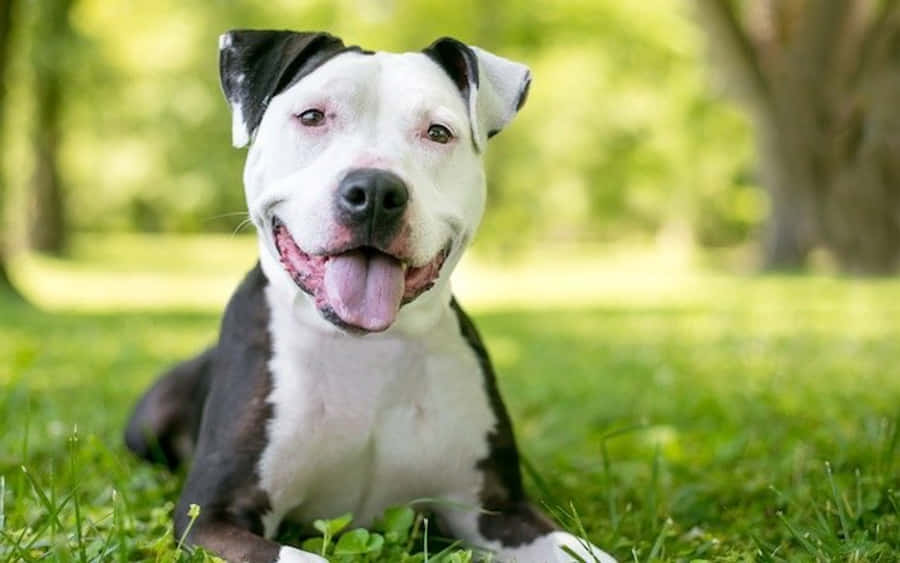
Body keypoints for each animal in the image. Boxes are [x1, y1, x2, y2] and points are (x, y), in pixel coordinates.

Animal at [126, 29, 616, 563]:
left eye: (438, 132)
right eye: (312, 116)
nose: (376, 191)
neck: (365, 349)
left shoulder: (497, 510)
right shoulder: (211, 514)